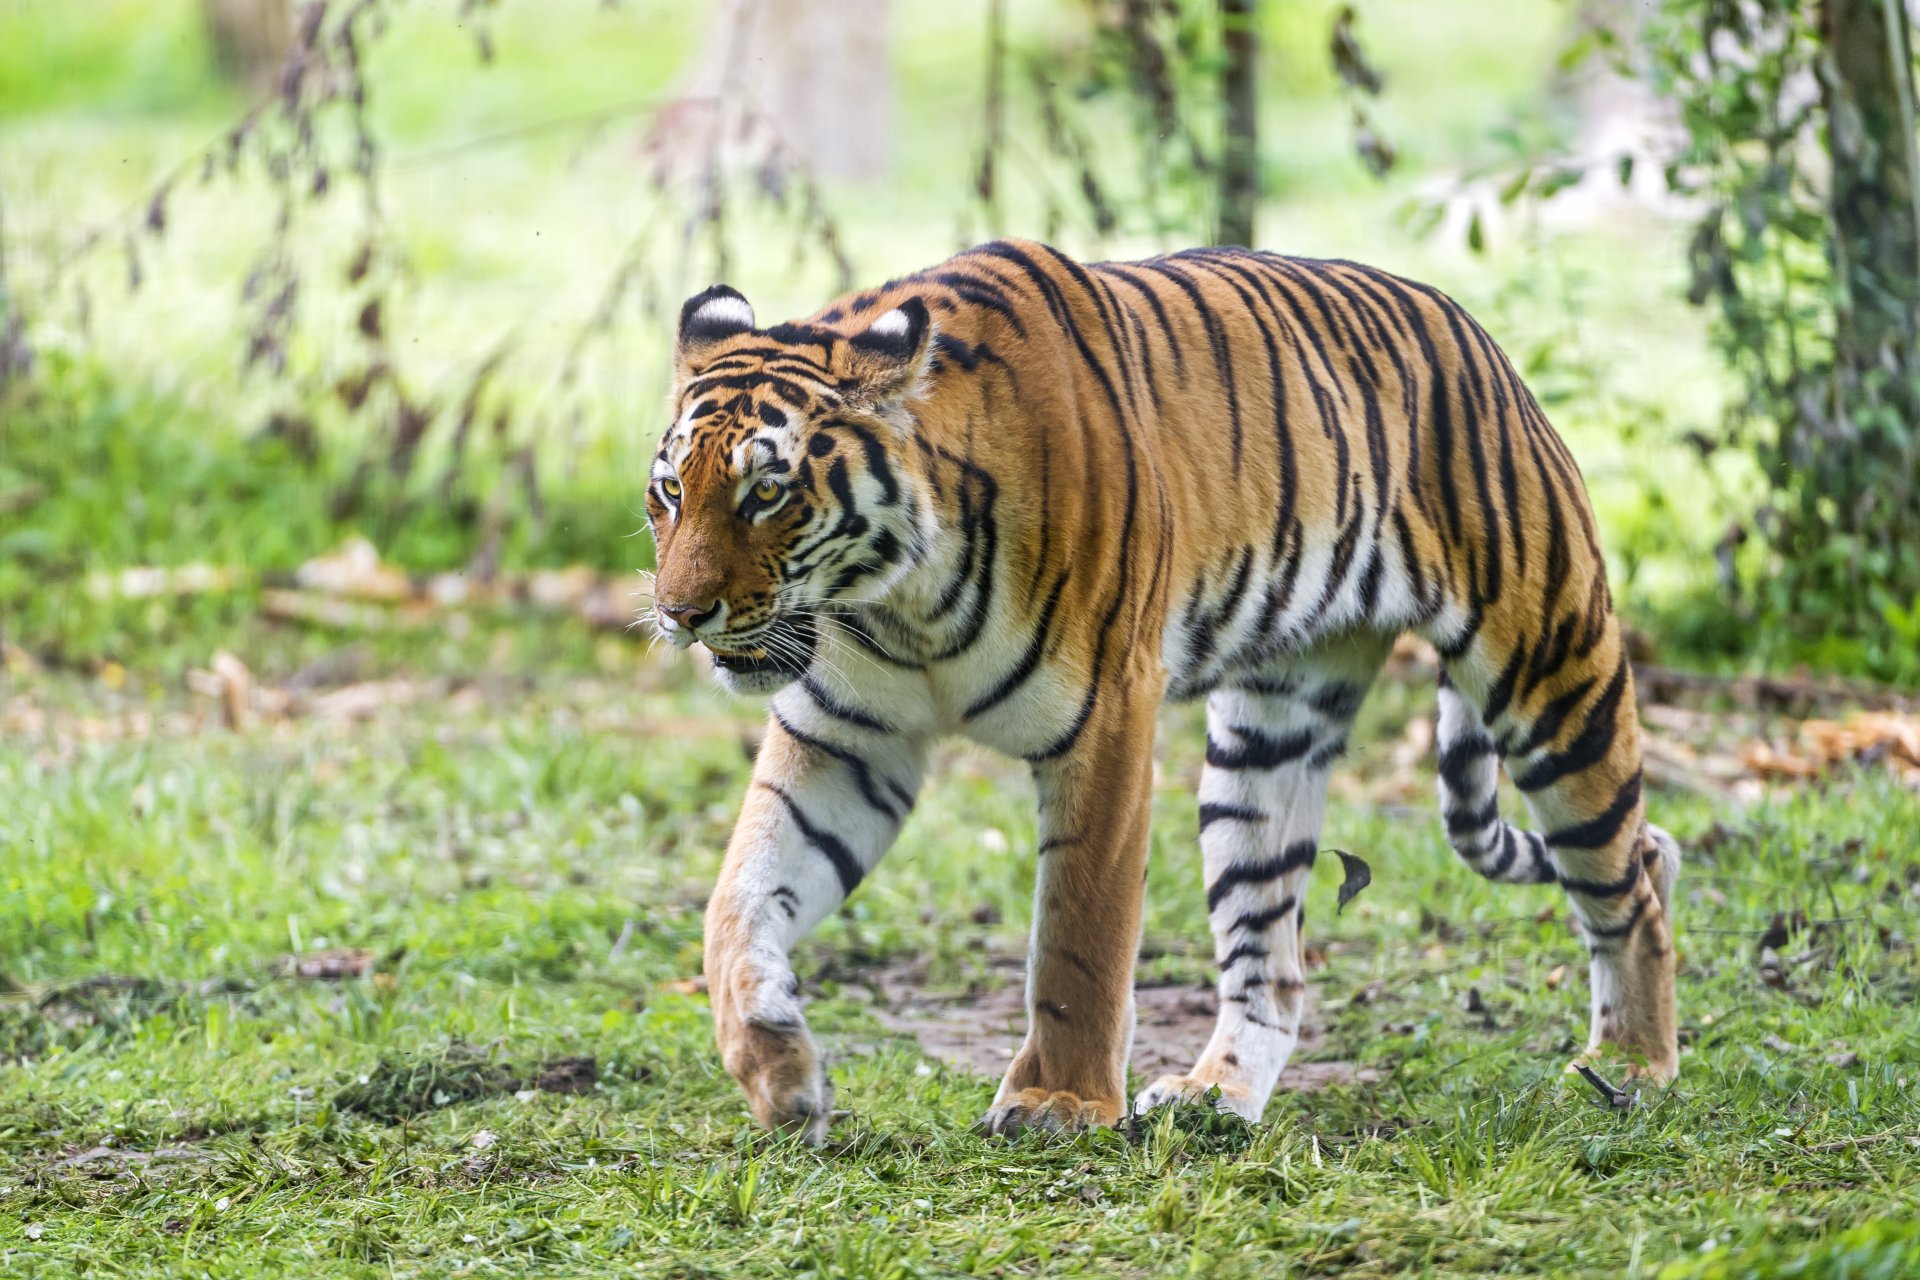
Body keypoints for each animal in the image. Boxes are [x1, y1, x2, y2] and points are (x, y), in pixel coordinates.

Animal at [646, 238, 1680, 1142]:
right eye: (671, 491)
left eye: (767, 493)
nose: (680, 611)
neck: (899, 601)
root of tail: (1473, 333)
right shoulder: (847, 738)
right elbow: (738, 900)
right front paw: (779, 1072)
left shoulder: (1105, 717)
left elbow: (1079, 935)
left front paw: (1060, 1104)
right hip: (1267, 743)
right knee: (1276, 965)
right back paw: (1210, 1099)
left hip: (1552, 676)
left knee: (1632, 879)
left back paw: (1631, 1064)